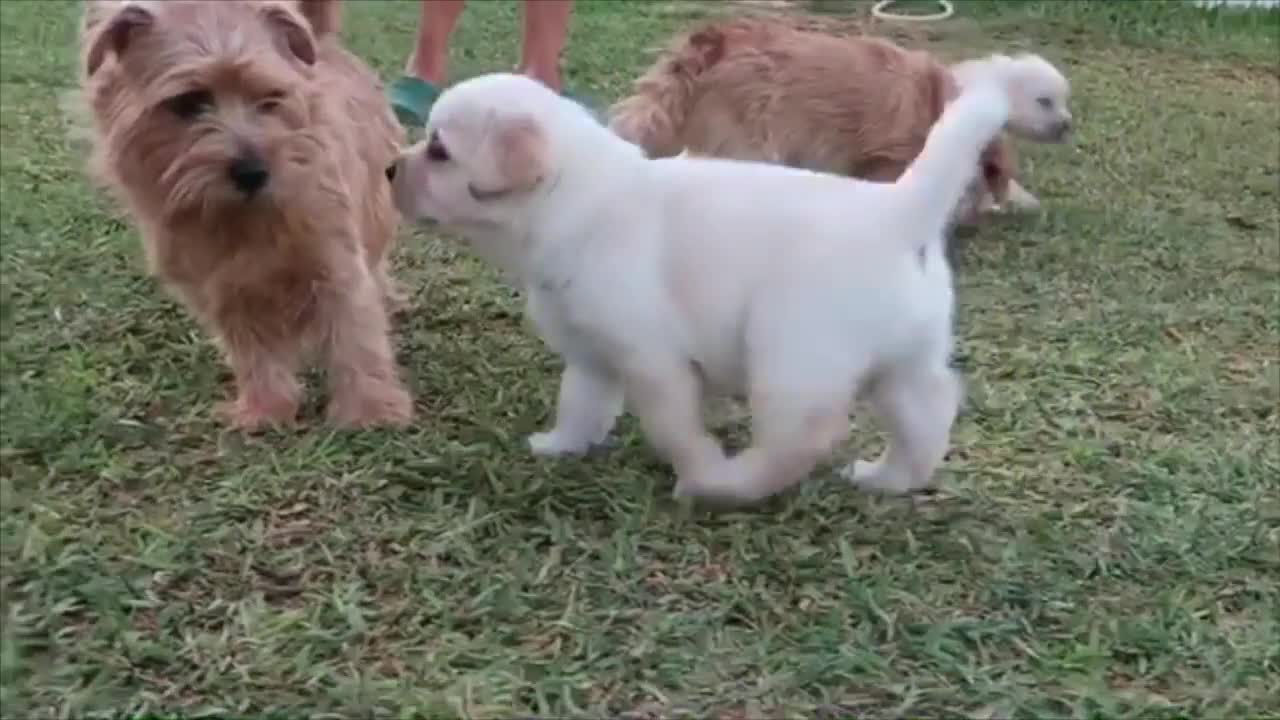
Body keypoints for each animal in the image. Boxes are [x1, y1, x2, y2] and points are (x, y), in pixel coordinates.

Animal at [74, 0, 412, 425]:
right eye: (188, 103)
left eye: (270, 98)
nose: (253, 171)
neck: (242, 218)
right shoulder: (222, 287)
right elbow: (252, 351)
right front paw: (265, 408)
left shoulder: (335, 261)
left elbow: (355, 335)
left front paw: (371, 410)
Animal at [386, 70, 1008, 502]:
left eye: (439, 150)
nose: (390, 168)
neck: (574, 199)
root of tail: (896, 212)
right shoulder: (592, 355)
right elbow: (580, 404)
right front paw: (561, 446)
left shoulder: (654, 360)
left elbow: (674, 429)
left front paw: (699, 467)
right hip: (902, 362)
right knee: (928, 413)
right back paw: (888, 478)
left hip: (791, 358)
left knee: (798, 438)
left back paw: (726, 487)